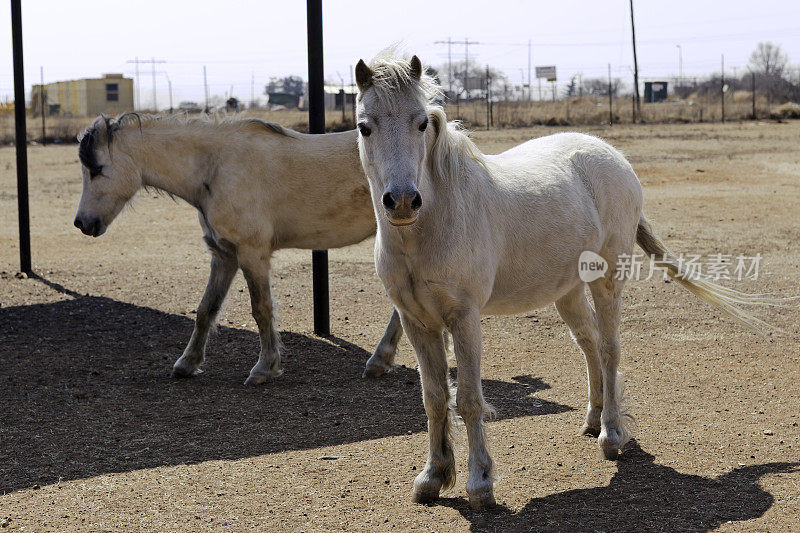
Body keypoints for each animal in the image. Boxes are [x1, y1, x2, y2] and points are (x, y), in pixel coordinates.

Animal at [72, 114, 404, 384]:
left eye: (97, 169)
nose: (82, 223)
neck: (217, 168)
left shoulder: (251, 253)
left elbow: (261, 309)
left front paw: (264, 368)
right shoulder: (224, 256)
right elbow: (206, 309)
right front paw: (187, 364)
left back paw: (379, 360)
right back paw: (380, 361)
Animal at [354, 52, 776, 510]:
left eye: (421, 123)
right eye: (364, 126)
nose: (402, 202)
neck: (433, 223)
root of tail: (613, 157)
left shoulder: (463, 318)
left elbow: (467, 400)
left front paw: (479, 483)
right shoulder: (416, 322)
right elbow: (433, 399)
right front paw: (432, 477)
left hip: (608, 279)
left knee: (609, 349)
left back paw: (611, 434)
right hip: (569, 290)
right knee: (589, 342)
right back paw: (593, 419)